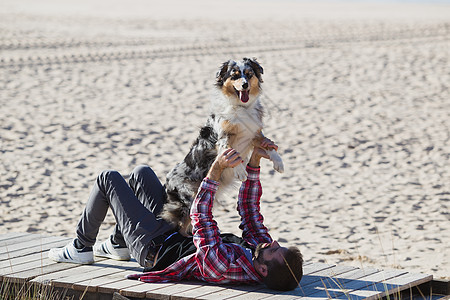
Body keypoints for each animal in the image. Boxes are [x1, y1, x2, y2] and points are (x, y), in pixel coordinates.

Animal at [160, 58, 284, 237]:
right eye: (235, 75)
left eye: (249, 74)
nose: (245, 85)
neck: (241, 107)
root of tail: (167, 181)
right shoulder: (223, 138)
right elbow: (233, 153)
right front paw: (240, 171)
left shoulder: (254, 135)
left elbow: (269, 147)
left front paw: (278, 162)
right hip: (189, 198)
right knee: (182, 225)